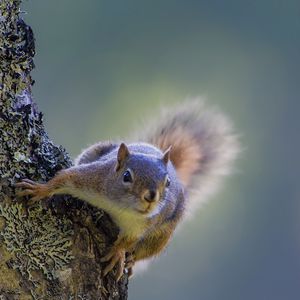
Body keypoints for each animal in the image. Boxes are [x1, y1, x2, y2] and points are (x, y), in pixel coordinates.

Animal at [15, 101, 239, 282]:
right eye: (126, 176)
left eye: (167, 182)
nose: (151, 196)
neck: (121, 207)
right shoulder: (93, 179)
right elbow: (65, 177)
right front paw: (40, 189)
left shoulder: (141, 225)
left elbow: (128, 240)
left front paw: (118, 253)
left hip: (162, 235)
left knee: (145, 251)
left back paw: (130, 261)